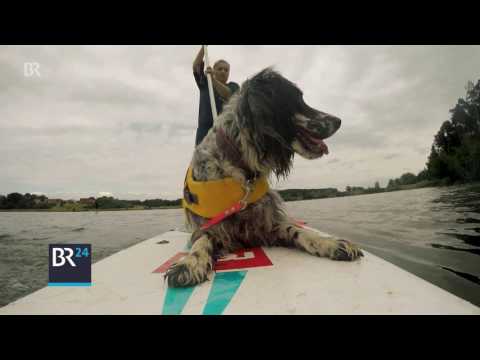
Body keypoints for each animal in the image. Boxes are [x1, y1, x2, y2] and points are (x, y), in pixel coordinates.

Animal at [166, 67, 364, 286]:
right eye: (296, 98)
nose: (339, 121)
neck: (239, 168)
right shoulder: (211, 227)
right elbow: (201, 240)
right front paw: (190, 263)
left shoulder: (265, 224)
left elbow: (296, 230)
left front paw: (330, 243)